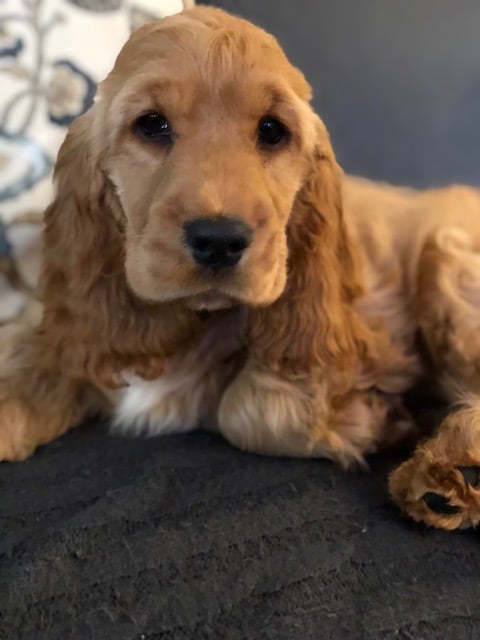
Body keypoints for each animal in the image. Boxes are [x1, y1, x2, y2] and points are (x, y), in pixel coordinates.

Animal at [0, 7, 480, 532]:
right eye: (152, 125)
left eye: (271, 130)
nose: (218, 240)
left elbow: (245, 407)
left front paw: (370, 419)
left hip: (447, 267)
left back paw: (451, 471)